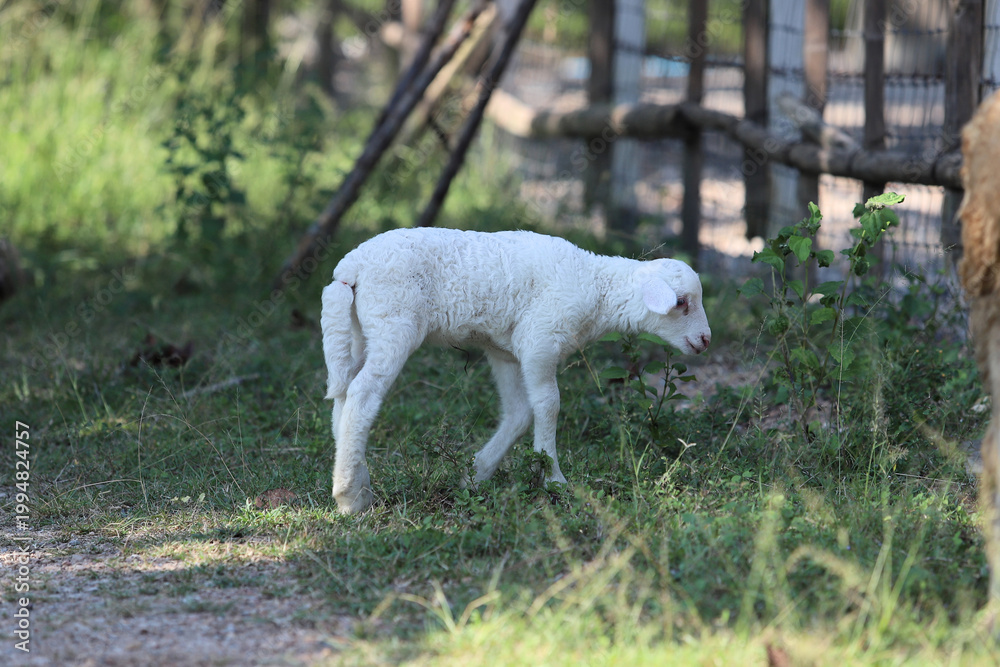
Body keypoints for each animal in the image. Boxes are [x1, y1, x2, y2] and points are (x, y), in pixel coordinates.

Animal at [321, 227, 712, 514]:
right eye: (681, 303)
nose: (705, 340)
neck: (595, 288)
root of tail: (350, 268)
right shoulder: (540, 340)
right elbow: (548, 405)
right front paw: (553, 479)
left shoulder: (505, 351)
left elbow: (519, 412)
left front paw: (476, 474)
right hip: (394, 320)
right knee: (362, 395)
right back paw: (348, 494)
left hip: (357, 330)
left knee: (342, 397)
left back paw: (358, 485)